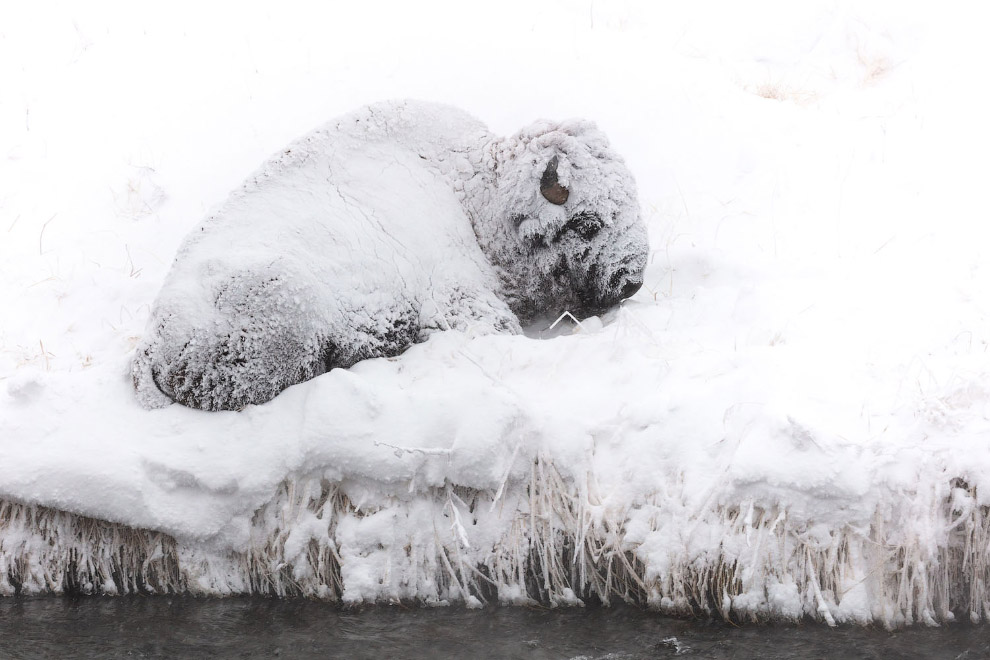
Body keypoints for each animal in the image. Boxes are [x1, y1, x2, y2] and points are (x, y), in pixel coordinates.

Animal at [138, 100, 652, 410]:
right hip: (286, 299)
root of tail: (153, 343)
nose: (631, 281)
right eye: (587, 222)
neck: (474, 193)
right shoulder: (463, 304)